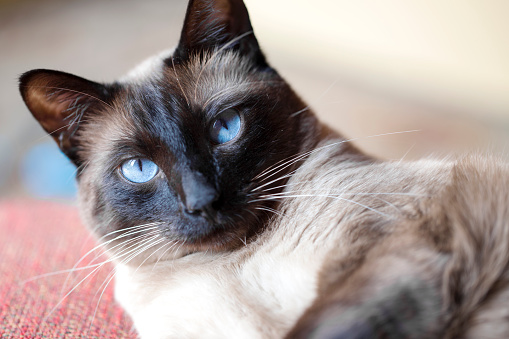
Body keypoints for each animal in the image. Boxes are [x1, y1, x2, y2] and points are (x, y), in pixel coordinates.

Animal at [17, 0, 508, 338]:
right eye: (138, 168)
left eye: (224, 128)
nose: (202, 201)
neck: (231, 268)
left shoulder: (398, 245)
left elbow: (321, 326)